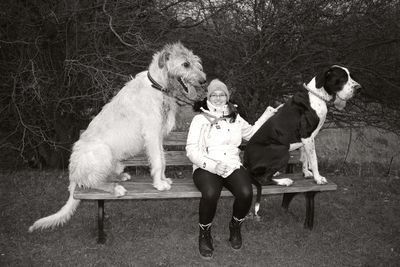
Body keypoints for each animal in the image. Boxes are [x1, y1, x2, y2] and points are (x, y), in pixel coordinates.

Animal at [244, 66, 362, 217]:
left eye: (351, 76)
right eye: (343, 78)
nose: (359, 88)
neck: (317, 95)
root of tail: (245, 163)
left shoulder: (306, 139)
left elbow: (305, 157)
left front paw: (306, 173)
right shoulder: (307, 136)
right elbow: (314, 159)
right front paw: (318, 178)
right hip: (282, 151)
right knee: (263, 179)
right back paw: (285, 181)